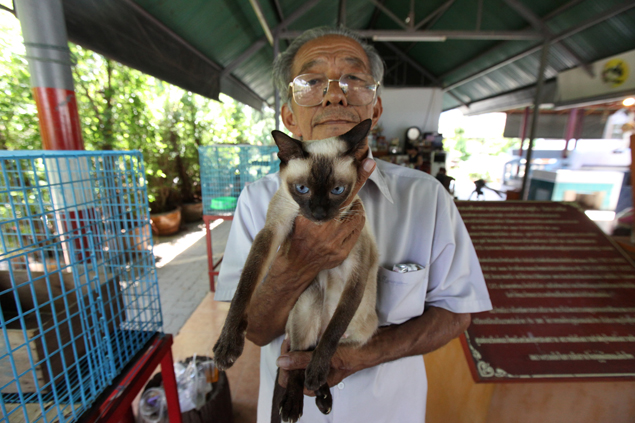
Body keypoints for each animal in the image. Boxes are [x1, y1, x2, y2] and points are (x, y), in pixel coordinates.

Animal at [216, 119, 378, 423]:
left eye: (337, 191)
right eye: (302, 189)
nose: (319, 214)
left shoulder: (357, 271)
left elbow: (333, 333)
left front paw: (316, 373)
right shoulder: (273, 231)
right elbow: (243, 288)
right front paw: (228, 345)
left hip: (362, 333)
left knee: (320, 345)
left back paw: (318, 388)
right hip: (308, 300)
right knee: (295, 360)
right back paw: (293, 405)